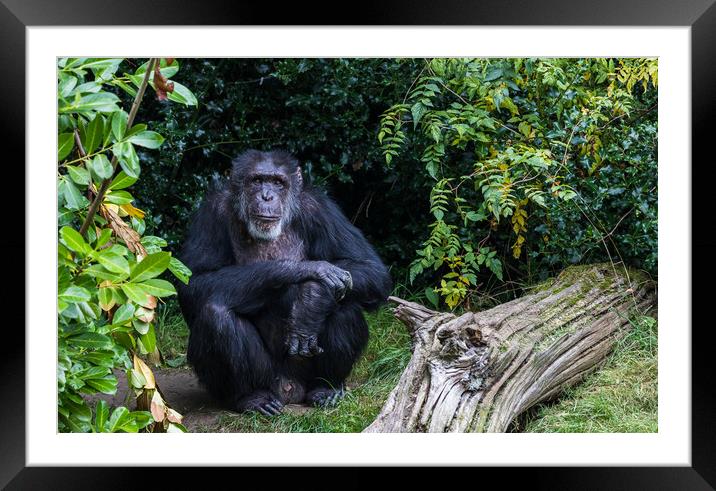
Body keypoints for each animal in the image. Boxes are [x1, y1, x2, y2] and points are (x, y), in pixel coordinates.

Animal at [178, 149, 392, 416]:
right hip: (269, 379)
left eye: (278, 182)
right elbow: (193, 282)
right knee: (215, 315)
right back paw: (252, 397)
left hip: (304, 373)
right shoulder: (211, 213)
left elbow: (370, 267)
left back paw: (327, 389)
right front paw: (307, 270)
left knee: (346, 304)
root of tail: (291, 391)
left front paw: (312, 298)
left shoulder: (321, 209)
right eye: (257, 180)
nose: (267, 196)